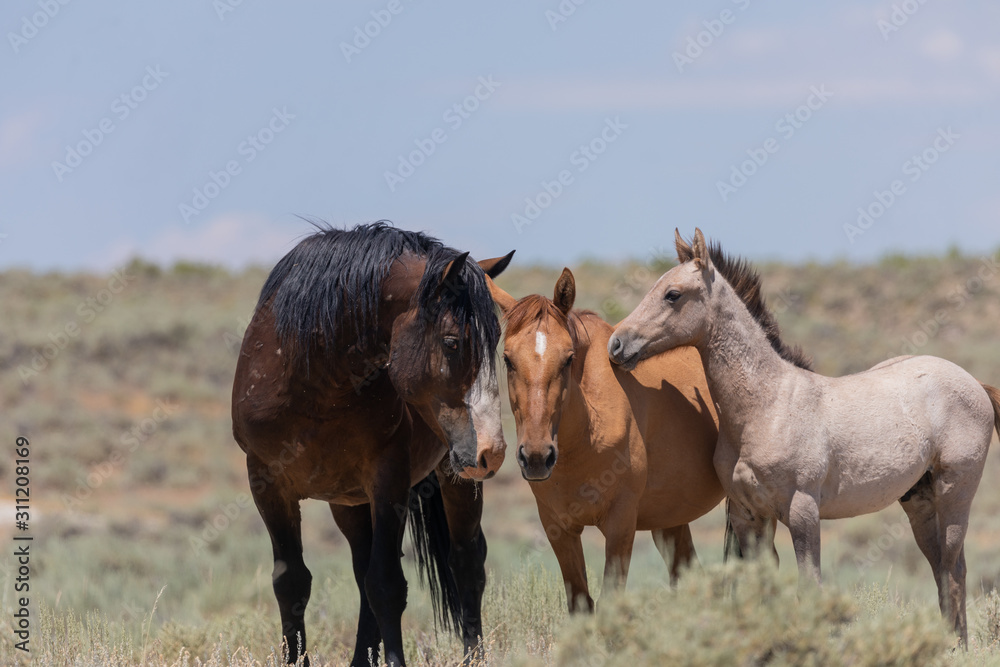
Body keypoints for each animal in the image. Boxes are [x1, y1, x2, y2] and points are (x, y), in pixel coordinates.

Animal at [233, 224, 512, 667]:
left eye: (496, 340)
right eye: (452, 342)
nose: (493, 451)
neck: (314, 381)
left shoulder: (388, 479)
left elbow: (386, 584)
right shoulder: (266, 482)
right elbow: (292, 581)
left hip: (454, 479)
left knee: (466, 562)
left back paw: (473, 657)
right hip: (349, 503)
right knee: (362, 567)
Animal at [604, 227, 1000, 644]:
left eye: (672, 294)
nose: (616, 344)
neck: (767, 407)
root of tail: (975, 383)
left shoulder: (802, 510)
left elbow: (809, 586)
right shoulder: (748, 515)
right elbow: (761, 586)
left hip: (955, 492)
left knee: (954, 568)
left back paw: (957, 647)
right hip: (918, 500)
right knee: (941, 566)